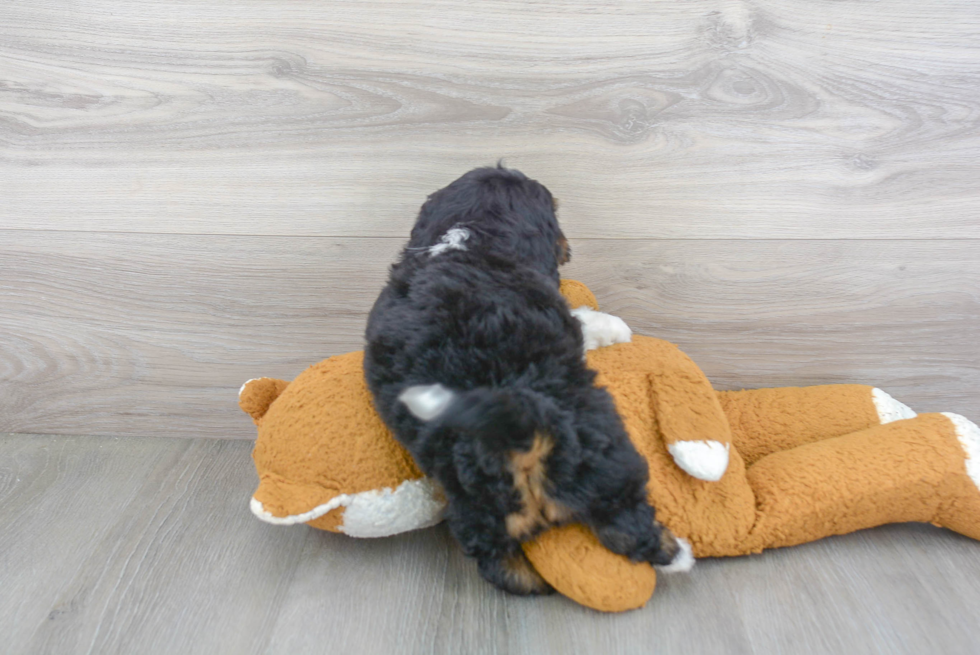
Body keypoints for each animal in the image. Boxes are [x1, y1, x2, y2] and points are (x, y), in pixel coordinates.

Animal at [364, 164, 692, 596]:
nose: (569, 246)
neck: (466, 237)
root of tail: (515, 434)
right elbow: (586, 321)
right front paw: (615, 328)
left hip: (475, 503)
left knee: (495, 560)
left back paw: (535, 580)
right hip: (608, 461)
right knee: (624, 525)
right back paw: (677, 552)